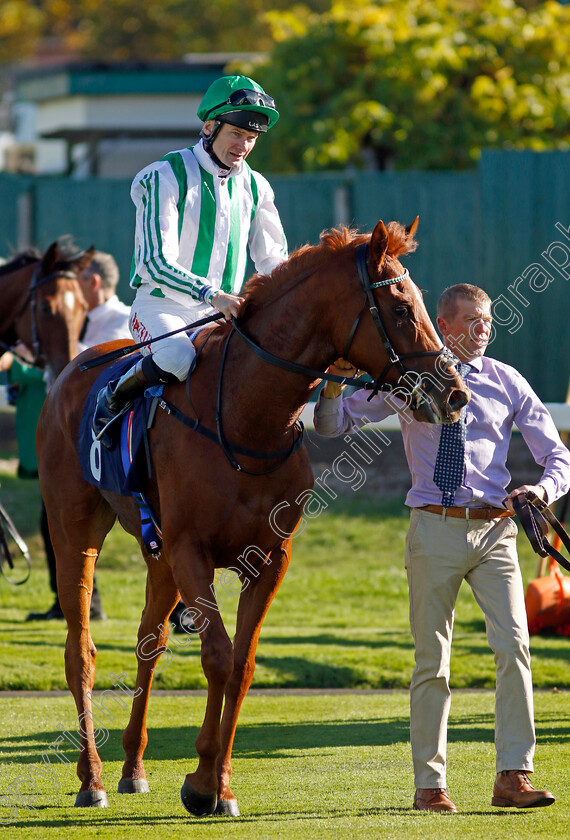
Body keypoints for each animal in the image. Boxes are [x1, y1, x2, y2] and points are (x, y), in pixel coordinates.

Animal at [37, 220, 468, 816]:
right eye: (401, 308)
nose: (454, 393)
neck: (246, 419)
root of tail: (73, 369)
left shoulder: (268, 558)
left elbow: (241, 664)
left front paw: (219, 784)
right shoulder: (192, 550)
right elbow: (217, 656)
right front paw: (200, 782)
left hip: (157, 555)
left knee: (151, 641)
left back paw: (133, 768)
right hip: (75, 531)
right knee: (81, 650)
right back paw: (92, 778)